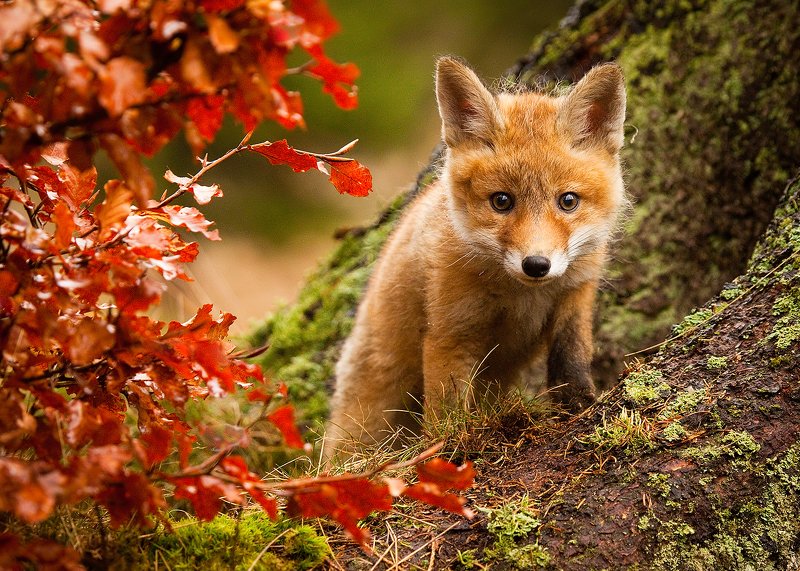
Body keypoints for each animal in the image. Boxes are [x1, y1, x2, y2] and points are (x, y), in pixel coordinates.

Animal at [324, 57, 627, 459]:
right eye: (501, 201)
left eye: (568, 201)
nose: (536, 265)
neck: (522, 297)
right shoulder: (451, 331)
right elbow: (446, 409)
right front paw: (448, 449)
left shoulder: (575, 297)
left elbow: (572, 359)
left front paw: (579, 406)